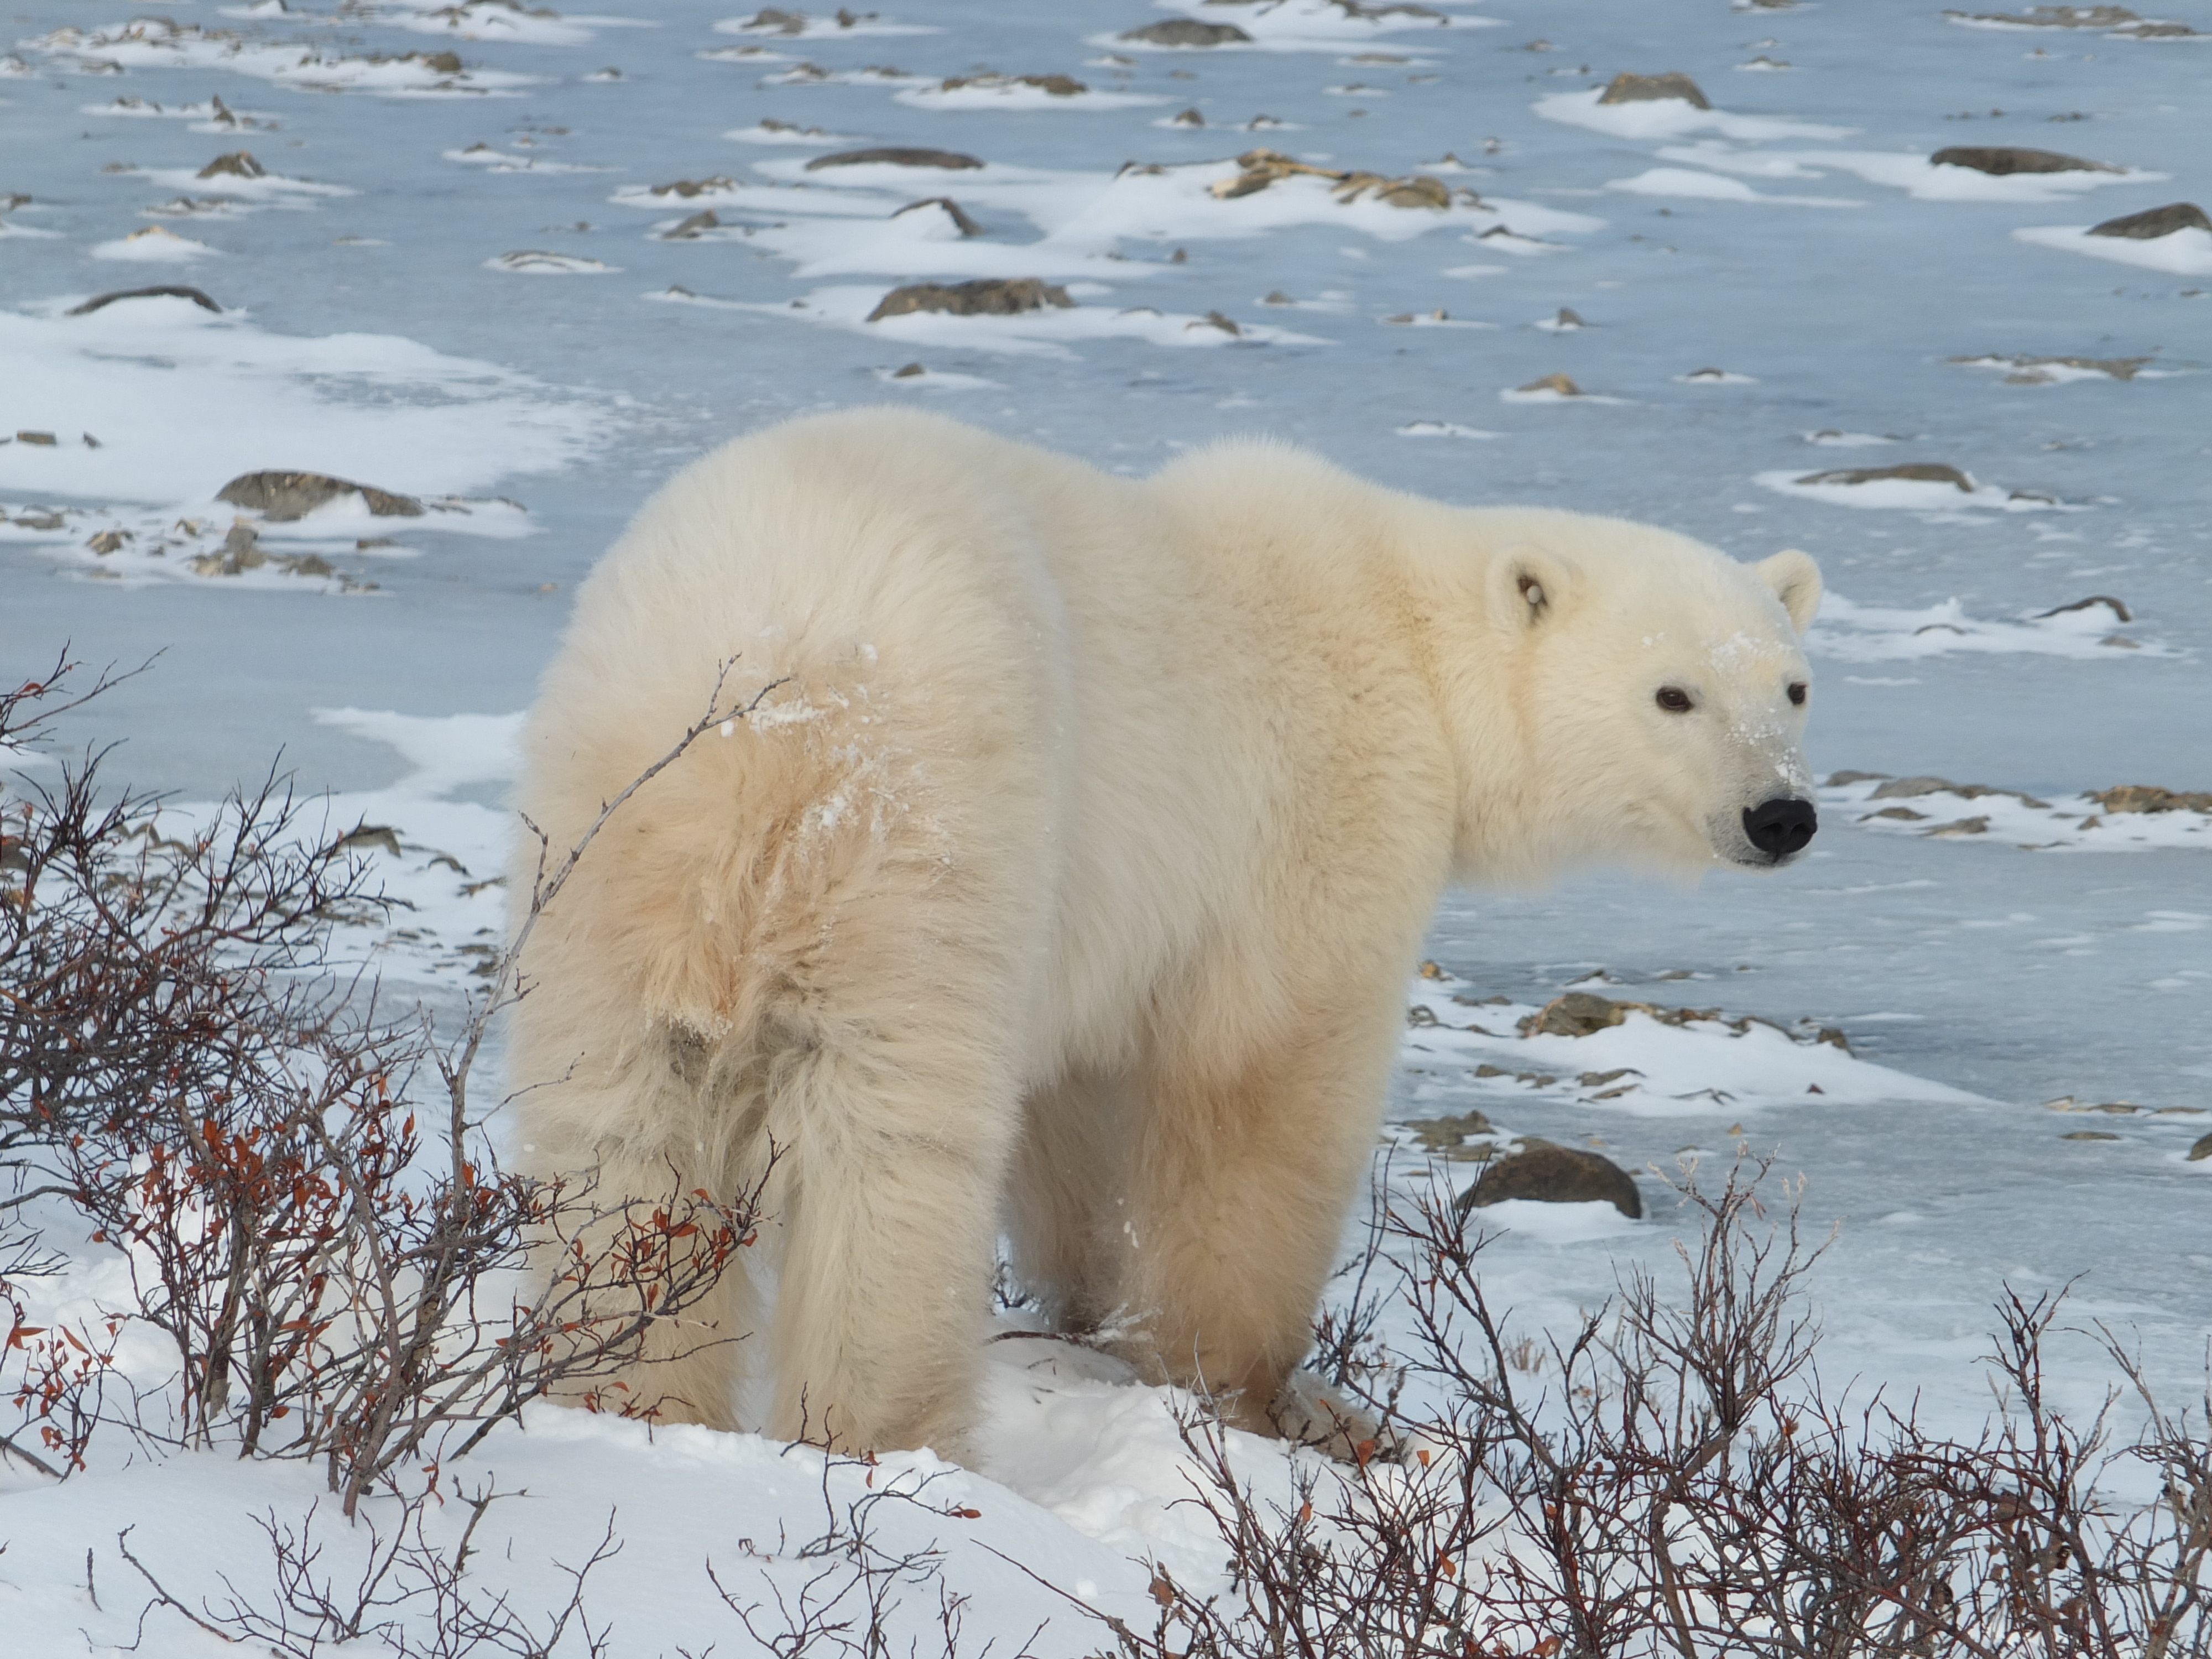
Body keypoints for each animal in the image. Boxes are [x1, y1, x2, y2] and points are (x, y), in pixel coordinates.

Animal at [506, 406, 1821, 1458]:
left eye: (1794, 686)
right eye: (1672, 694)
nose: (1783, 815)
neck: (1405, 631)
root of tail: (754, 728)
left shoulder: (1107, 926)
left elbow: (1074, 1110)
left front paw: (1092, 1313)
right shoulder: (1309, 820)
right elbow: (1264, 1093)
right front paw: (1265, 1397)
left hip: (602, 845)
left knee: (617, 1134)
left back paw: (616, 1395)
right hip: (925, 823)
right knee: (890, 1145)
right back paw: (885, 1434)